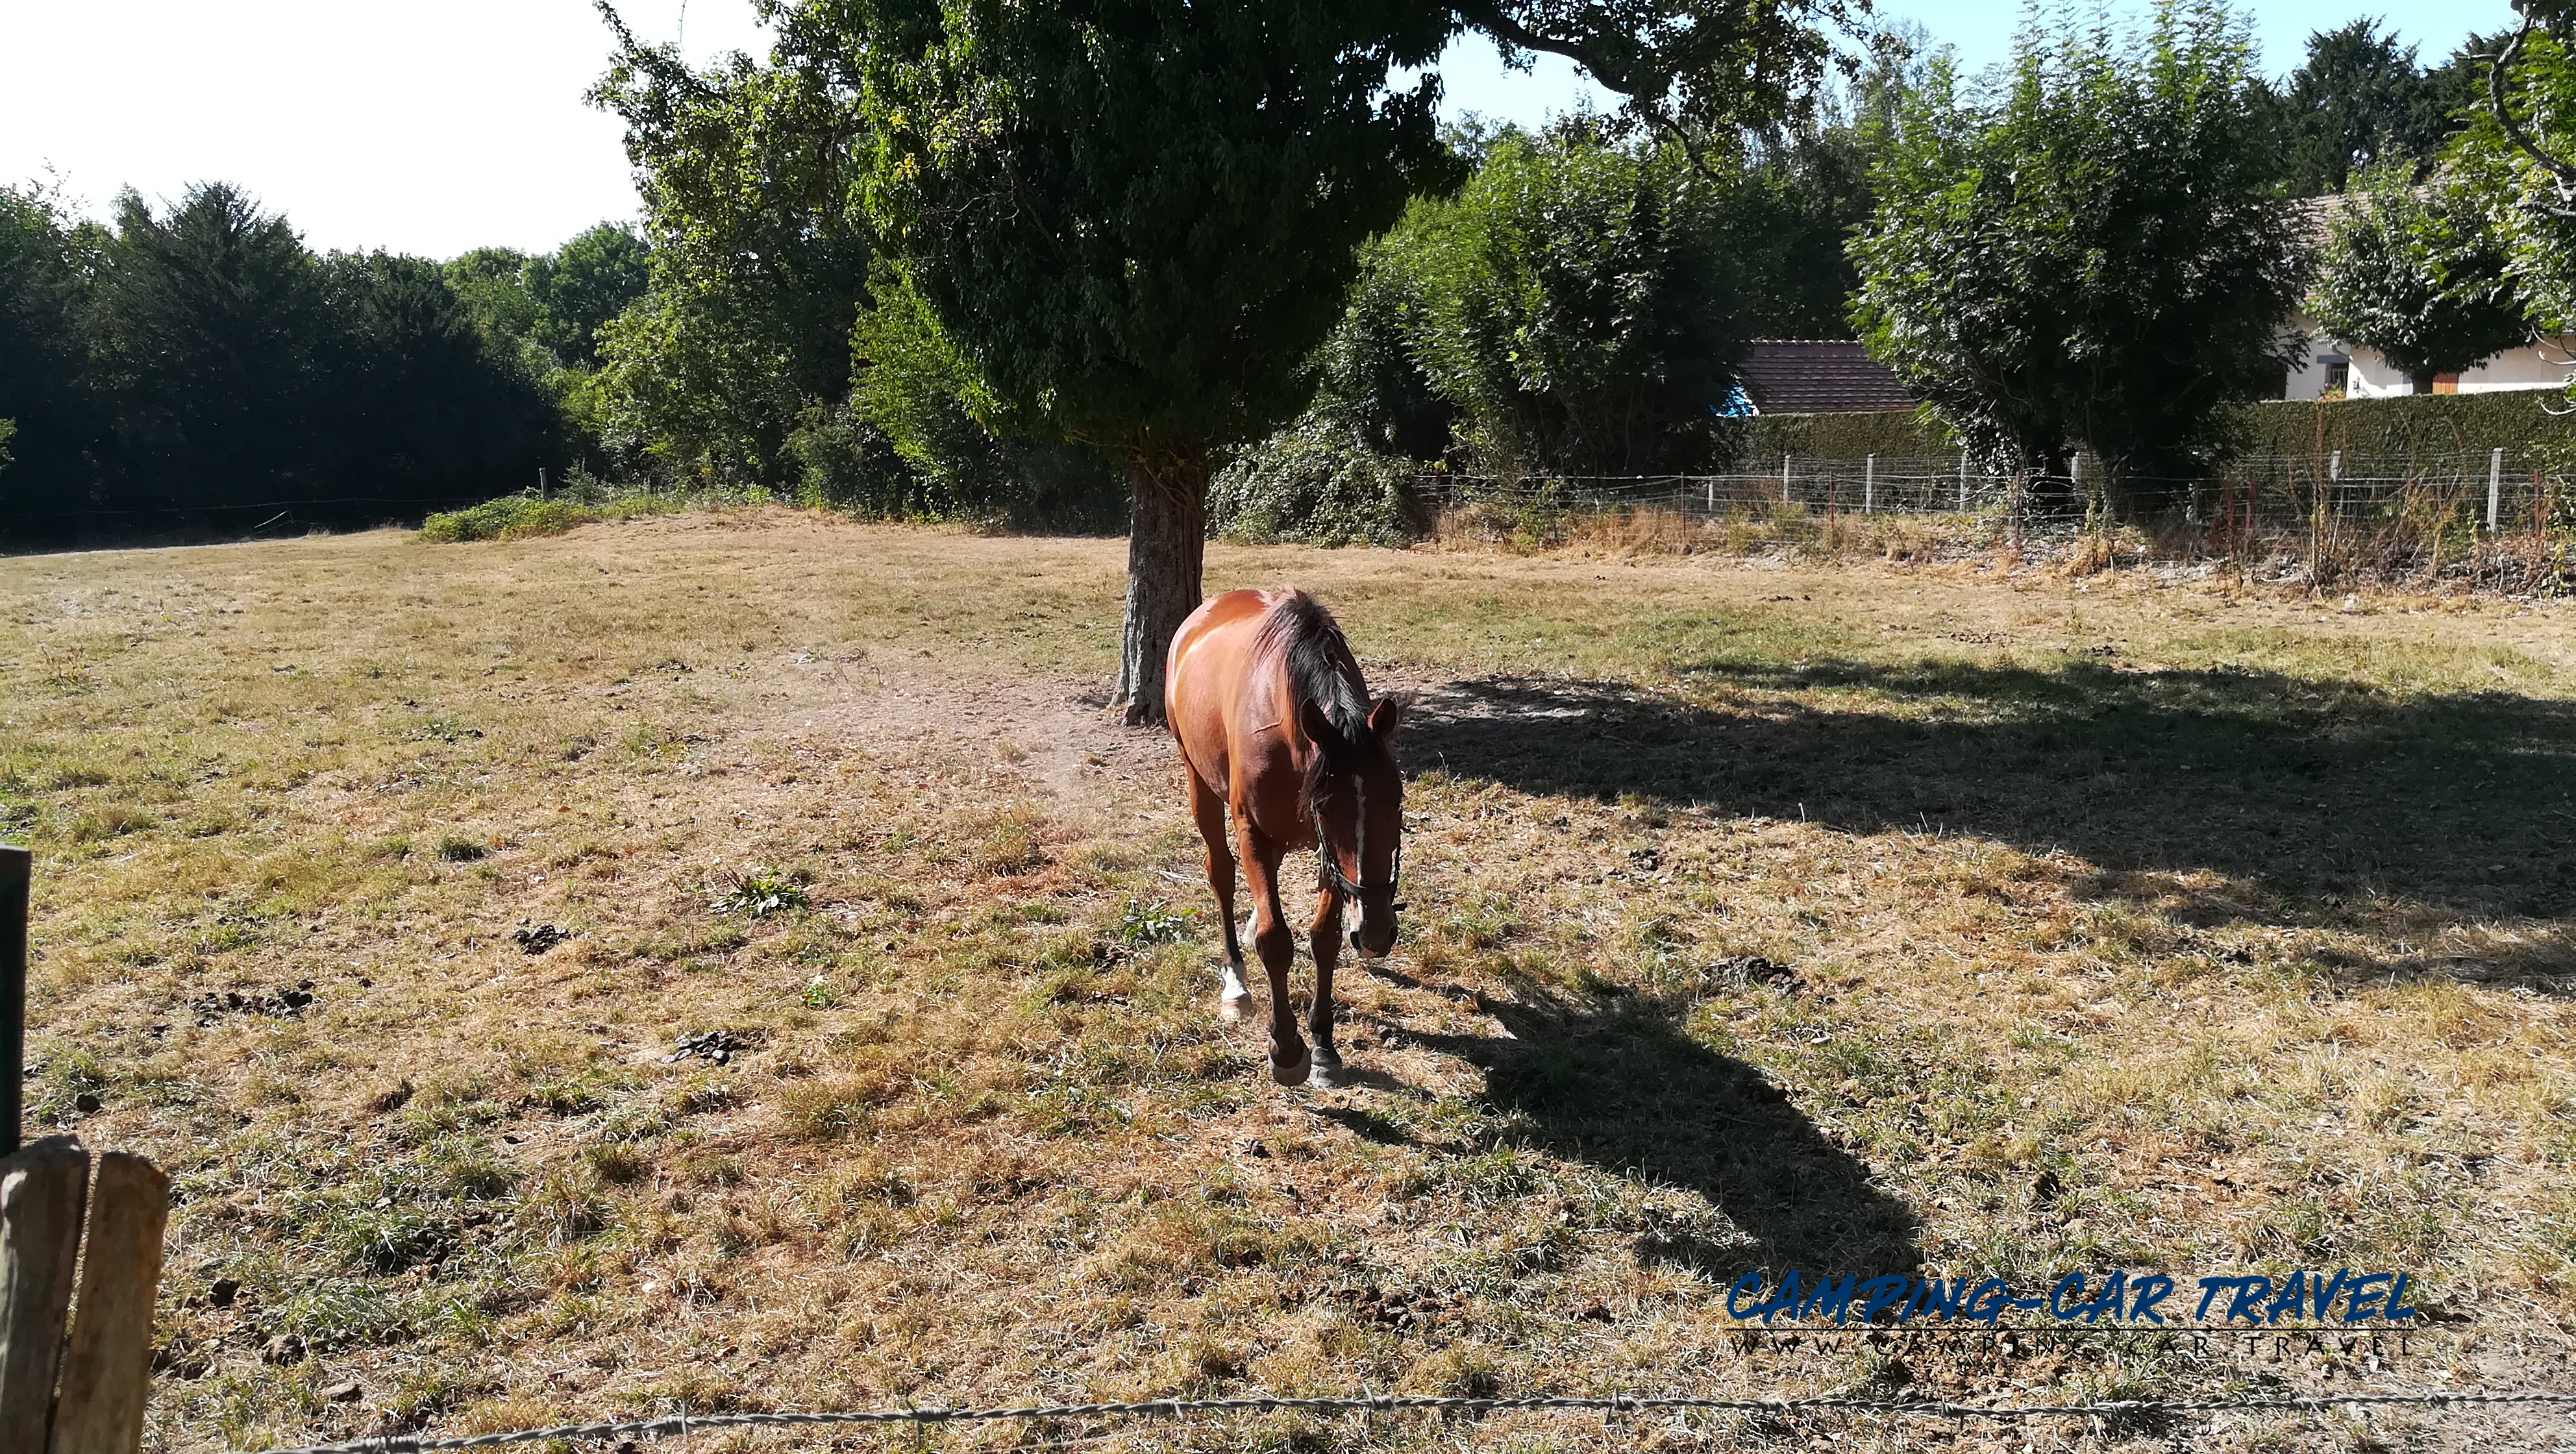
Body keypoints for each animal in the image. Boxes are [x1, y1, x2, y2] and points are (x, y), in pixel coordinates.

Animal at [1169, 586, 1411, 1076]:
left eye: (1396, 799)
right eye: (1325, 806)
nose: (1376, 933)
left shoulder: (1331, 858)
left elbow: (1325, 937)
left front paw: (1323, 1040)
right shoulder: (1256, 833)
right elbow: (1276, 940)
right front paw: (1285, 1047)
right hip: (1198, 780)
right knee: (1221, 874)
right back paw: (1236, 978)